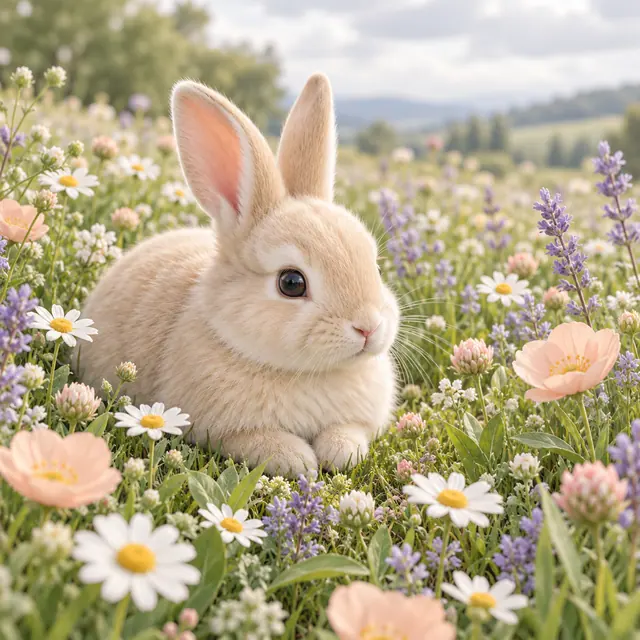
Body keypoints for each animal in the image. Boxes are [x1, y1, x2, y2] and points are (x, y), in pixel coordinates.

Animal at [75, 73, 400, 476]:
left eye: (375, 264)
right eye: (291, 283)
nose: (368, 327)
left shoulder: (360, 421)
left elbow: (349, 434)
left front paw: (339, 452)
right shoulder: (226, 431)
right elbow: (263, 444)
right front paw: (300, 461)